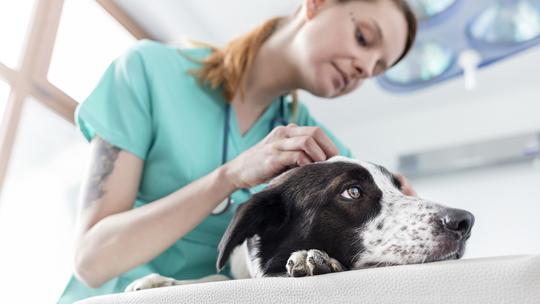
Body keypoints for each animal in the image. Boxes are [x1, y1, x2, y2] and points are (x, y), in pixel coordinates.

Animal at [125, 156, 472, 290]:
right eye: (352, 191)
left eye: (400, 188)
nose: (465, 221)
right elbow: (216, 277)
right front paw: (161, 281)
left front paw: (315, 259)